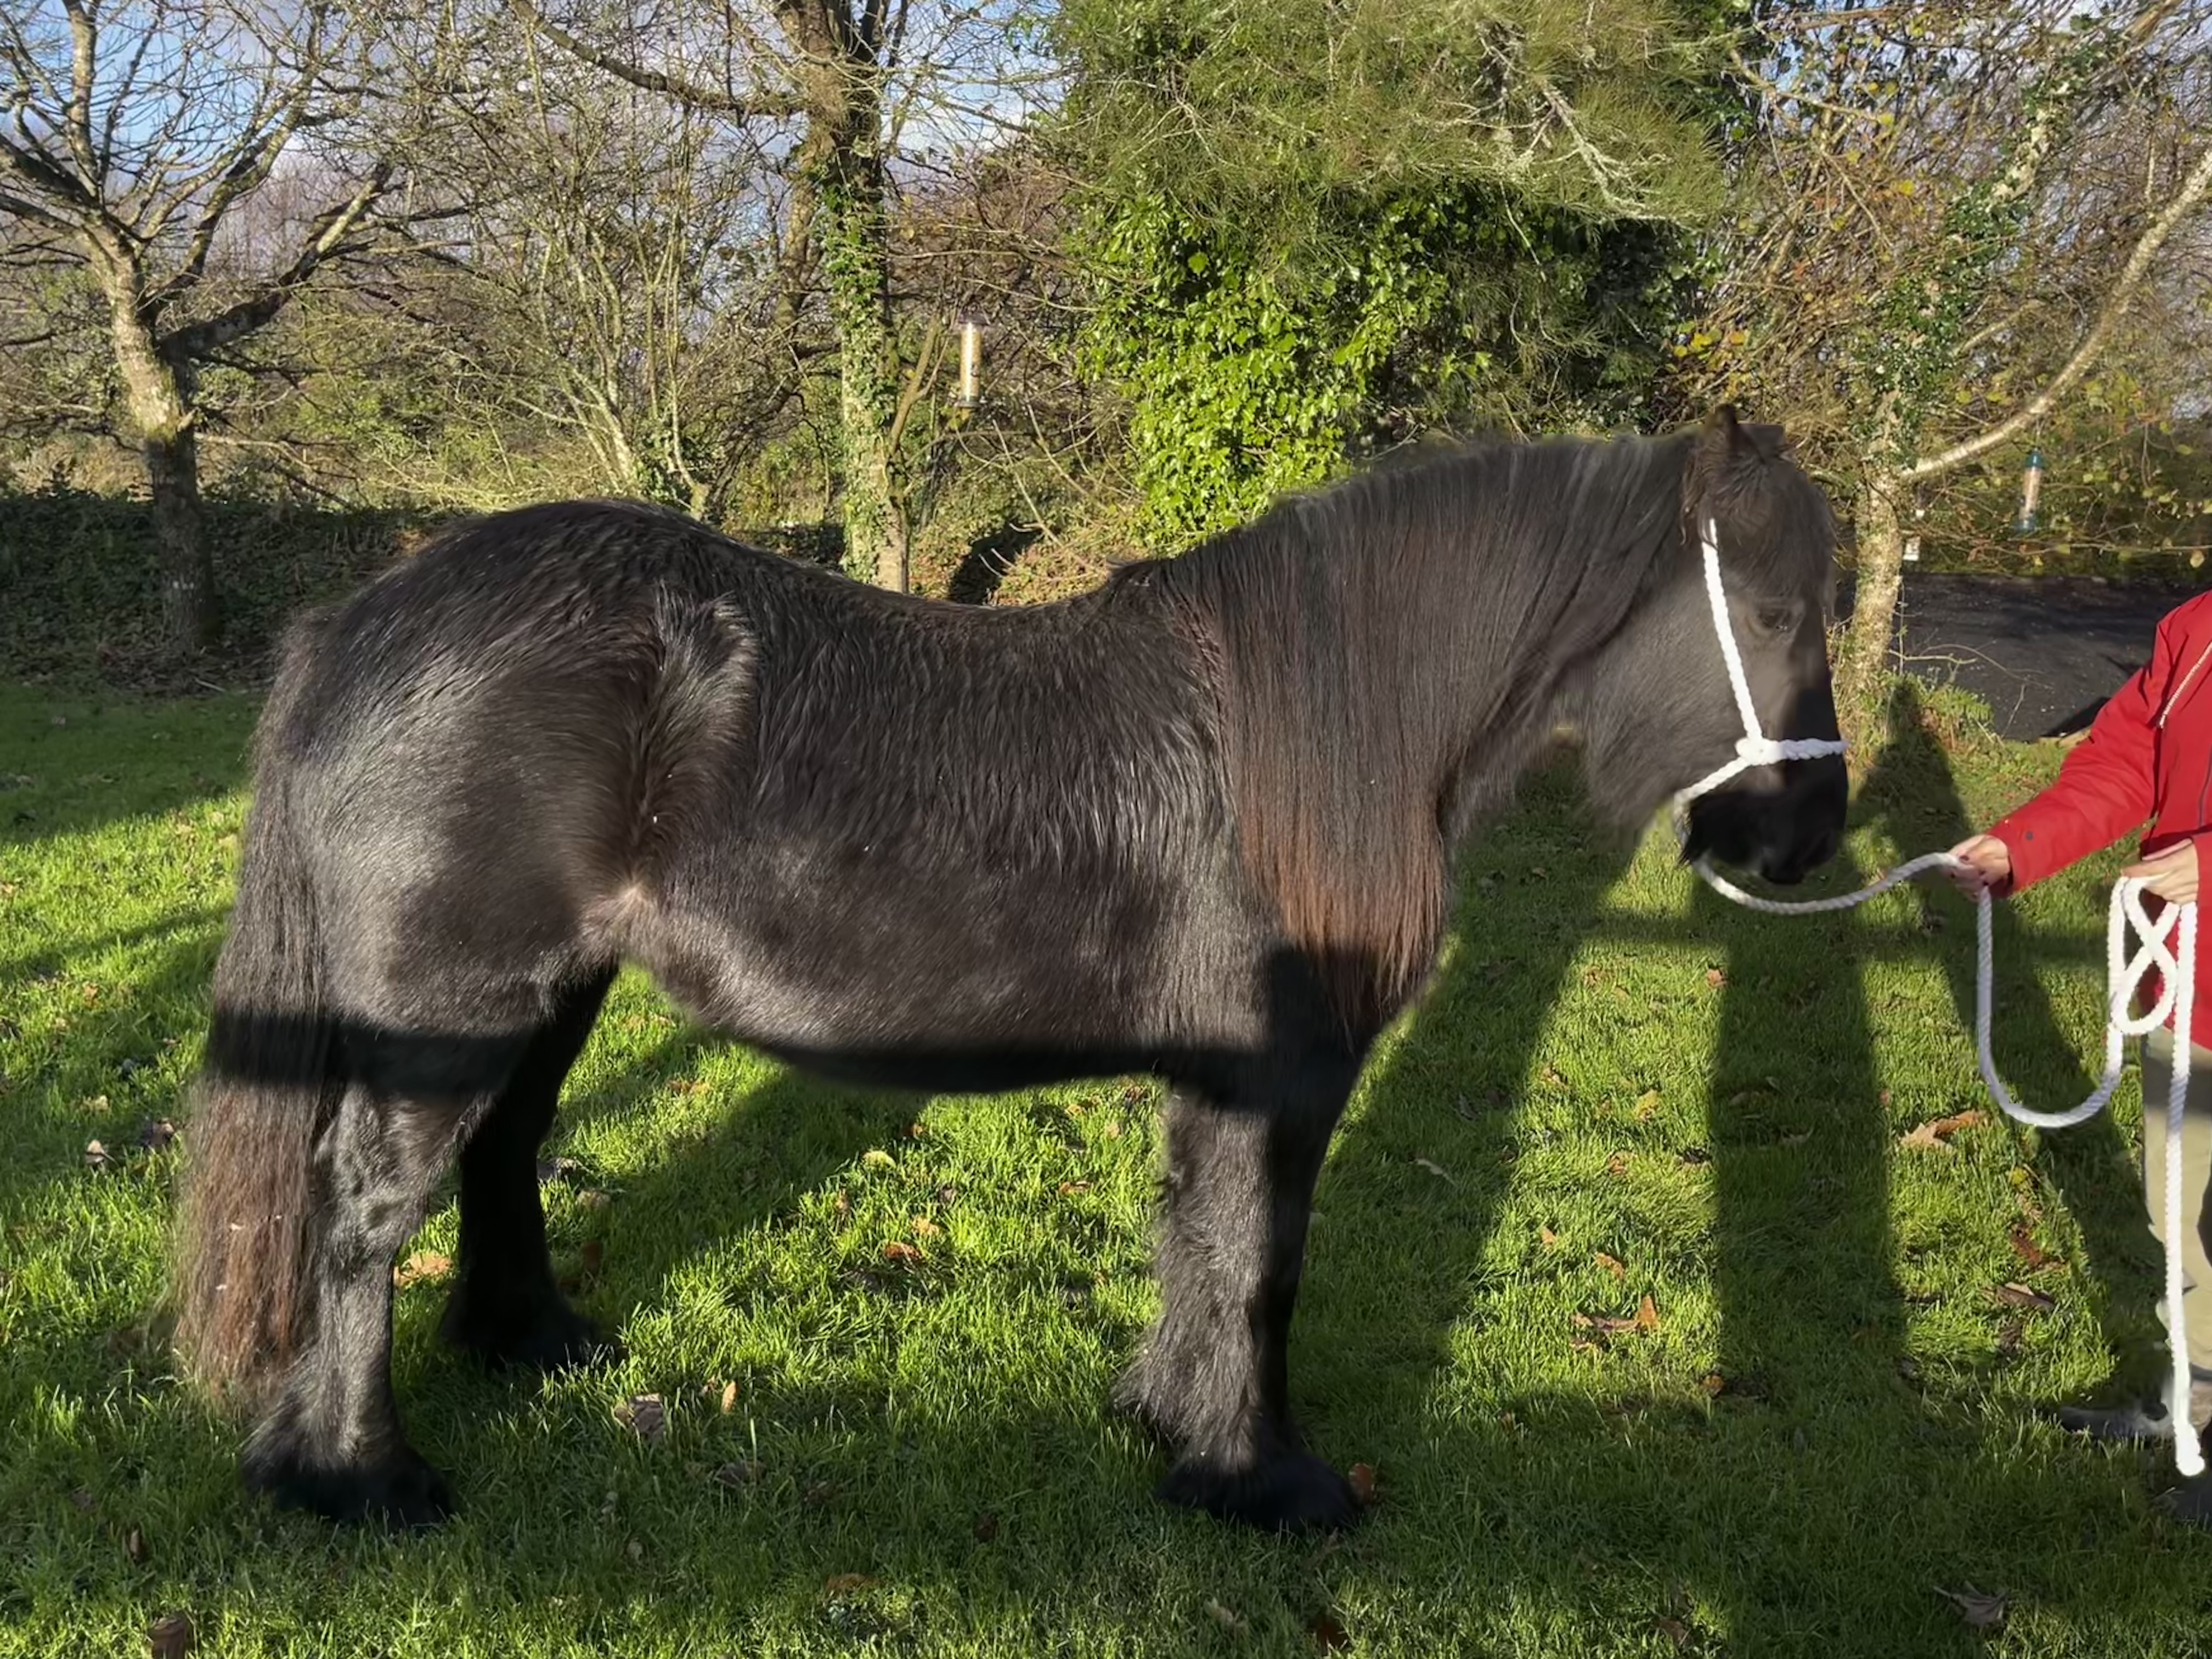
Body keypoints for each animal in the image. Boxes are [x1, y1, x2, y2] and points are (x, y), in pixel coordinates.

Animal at [172, 408, 1848, 1533]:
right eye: (1773, 611)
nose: (1807, 838)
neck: (1302, 738)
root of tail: (361, 621)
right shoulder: (1284, 1076)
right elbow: (1263, 1265)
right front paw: (1267, 1482)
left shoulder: (1224, 1083)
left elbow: (1203, 1249)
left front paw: (1175, 1430)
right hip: (447, 1011)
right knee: (364, 1213)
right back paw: (357, 1478)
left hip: (547, 997)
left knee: (502, 1153)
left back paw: (531, 1349)